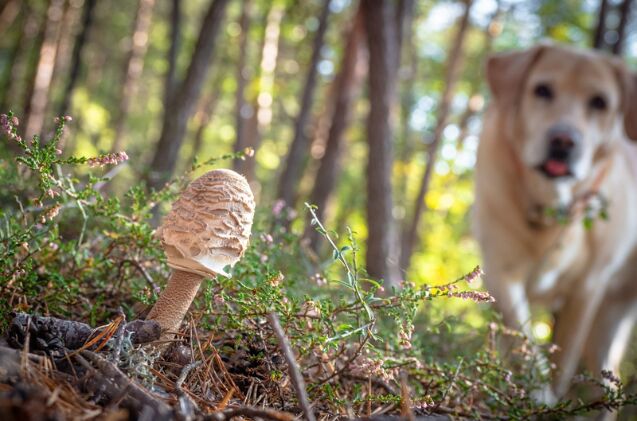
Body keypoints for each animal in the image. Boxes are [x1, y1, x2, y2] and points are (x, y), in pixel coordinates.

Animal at [472, 43, 636, 400]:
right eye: (542, 90)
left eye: (599, 102)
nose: (563, 141)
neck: (552, 208)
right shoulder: (501, 273)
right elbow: (524, 344)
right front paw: (536, 392)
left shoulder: (588, 287)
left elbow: (564, 362)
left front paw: (551, 398)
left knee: (607, 383)